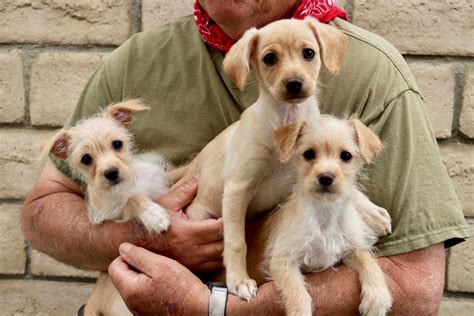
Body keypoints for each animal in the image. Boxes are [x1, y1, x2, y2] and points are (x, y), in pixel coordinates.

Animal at [46, 99, 171, 316]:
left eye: (117, 144)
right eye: (86, 159)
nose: (112, 173)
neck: (127, 185)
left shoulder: (159, 184)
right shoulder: (112, 213)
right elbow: (131, 199)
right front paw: (153, 215)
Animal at [260, 115, 392, 314]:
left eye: (346, 156)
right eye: (308, 154)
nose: (326, 177)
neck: (325, 213)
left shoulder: (353, 248)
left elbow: (370, 263)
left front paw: (377, 298)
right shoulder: (282, 260)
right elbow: (297, 292)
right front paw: (300, 311)